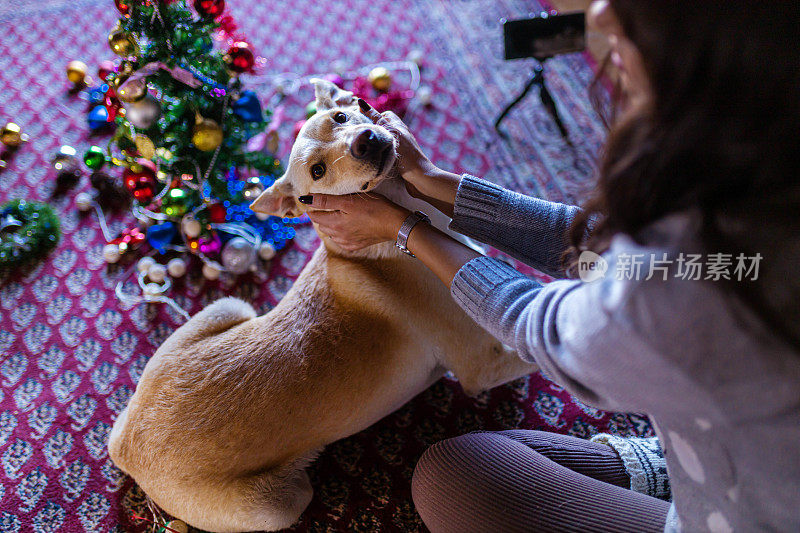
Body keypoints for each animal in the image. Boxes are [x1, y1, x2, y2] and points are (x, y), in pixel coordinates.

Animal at [104, 80, 532, 532]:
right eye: (318, 172)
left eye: (341, 117)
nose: (365, 140)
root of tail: (127, 447)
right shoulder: (482, 364)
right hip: (280, 505)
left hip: (229, 307)